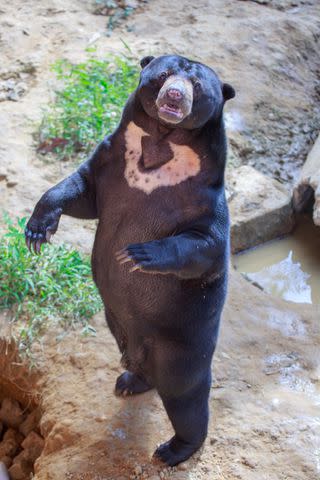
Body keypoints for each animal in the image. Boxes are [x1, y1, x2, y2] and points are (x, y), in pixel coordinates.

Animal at [25, 55, 235, 464]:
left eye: (196, 85)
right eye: (163, 75)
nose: (174, 95)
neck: (161, 143)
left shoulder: (206, 202)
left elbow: (204, 245)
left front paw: (137, 253)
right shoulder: (109, 161)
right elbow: (78, 191)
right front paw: (37, 231)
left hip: (183, 346)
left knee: (187, 398)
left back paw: (172, 449)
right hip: (121, 327)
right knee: (146, 374)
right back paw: (127, 382)